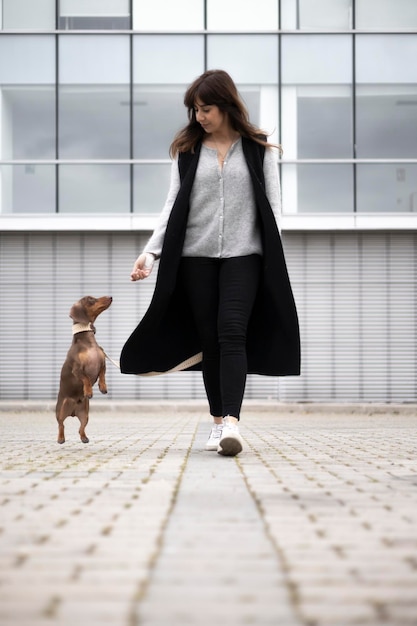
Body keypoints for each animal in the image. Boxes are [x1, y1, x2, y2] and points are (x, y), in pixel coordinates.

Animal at [57, 294, 113, 442]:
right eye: (90, 299)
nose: (110, 297)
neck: (89, 343)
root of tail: (72, 413)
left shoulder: (102, 363)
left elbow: (102, 374)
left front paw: (103, 387)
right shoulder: (77, 369)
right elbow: (86, 378)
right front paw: (88, 391)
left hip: (85, 413)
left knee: (81, 428)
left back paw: (84, 438)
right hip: (61, 410)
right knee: (61, 425)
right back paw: (61, 439)